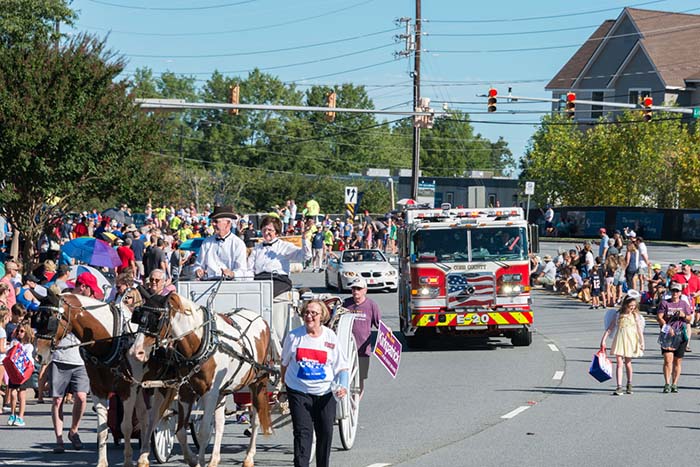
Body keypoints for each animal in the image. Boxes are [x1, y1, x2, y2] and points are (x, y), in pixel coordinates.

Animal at [36, 290, 148, 467]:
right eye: (36, 319)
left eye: (51, 321)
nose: (38, 355)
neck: (111, 339)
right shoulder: (98, 390)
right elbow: (102, 429)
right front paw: (102, 462)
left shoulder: (127, 390)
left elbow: (126, 427)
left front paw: (128, 461)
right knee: (144, 417)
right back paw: (144, 457)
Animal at [130, 294, 274, 467]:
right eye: (138, 317)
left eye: (157, 319)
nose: (135, 352)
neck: (202, 343)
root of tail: (260, 318)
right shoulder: (186, 391)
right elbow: (180, 431)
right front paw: (192, 459)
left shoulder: (209, 393)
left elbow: (204, 431)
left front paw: (199, 460)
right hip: (222, 391)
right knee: (220, 422)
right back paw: (214, 458)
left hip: (257, 383)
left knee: (256, 419)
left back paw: (249, 457)